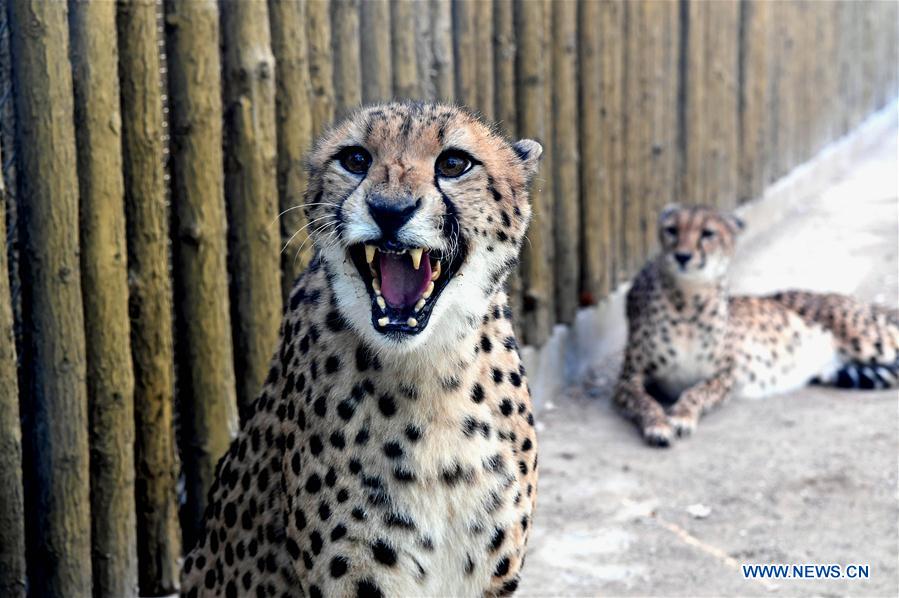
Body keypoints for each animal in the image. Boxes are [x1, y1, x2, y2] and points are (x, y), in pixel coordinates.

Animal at [613, 204, 899, 447]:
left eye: (707, 233)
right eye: (672, 229)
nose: (682, 256)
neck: (687, 298)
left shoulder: (724, 376)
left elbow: (696, 392)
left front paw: (682, 416)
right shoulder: (629, 378)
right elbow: (644, 401)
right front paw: (658, 425)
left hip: (870, 340)